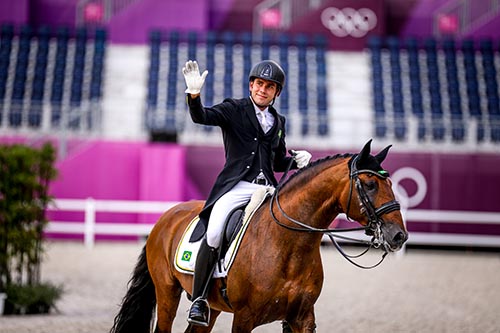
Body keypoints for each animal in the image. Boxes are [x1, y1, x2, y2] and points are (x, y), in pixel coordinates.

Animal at [111, 139, 408, 330]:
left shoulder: (302, 317)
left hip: (212, 307)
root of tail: (166, 217)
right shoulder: (244, 318)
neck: (289, 245)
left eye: (391, 184)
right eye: (369, 184)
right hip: (167, 293)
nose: (398, 236)